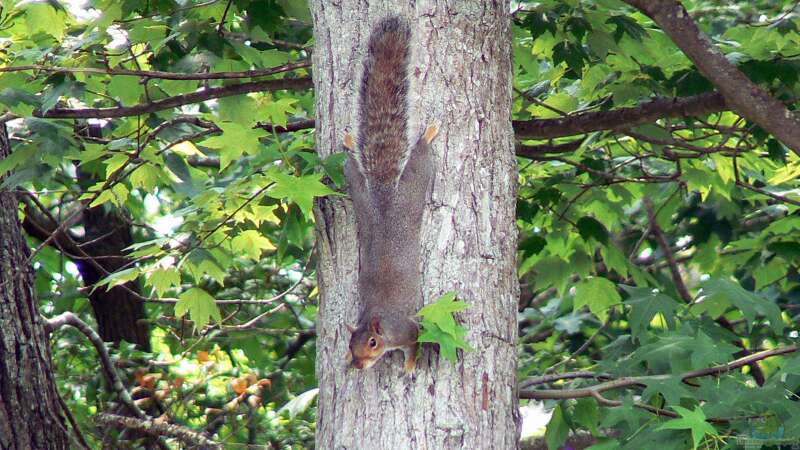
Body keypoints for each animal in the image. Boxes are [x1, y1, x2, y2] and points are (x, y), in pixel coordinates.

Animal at [342, 16, 440, 376]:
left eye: (373, 343)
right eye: (350, 344)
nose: (358, 365)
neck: (378, 319)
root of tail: (384, 199)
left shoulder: (408, 329)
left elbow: (415, 343)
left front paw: (410, 365)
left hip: (413, 189)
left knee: (420, 161)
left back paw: (426, 137)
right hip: (361, 198)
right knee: (353, 170)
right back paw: (350, 144)